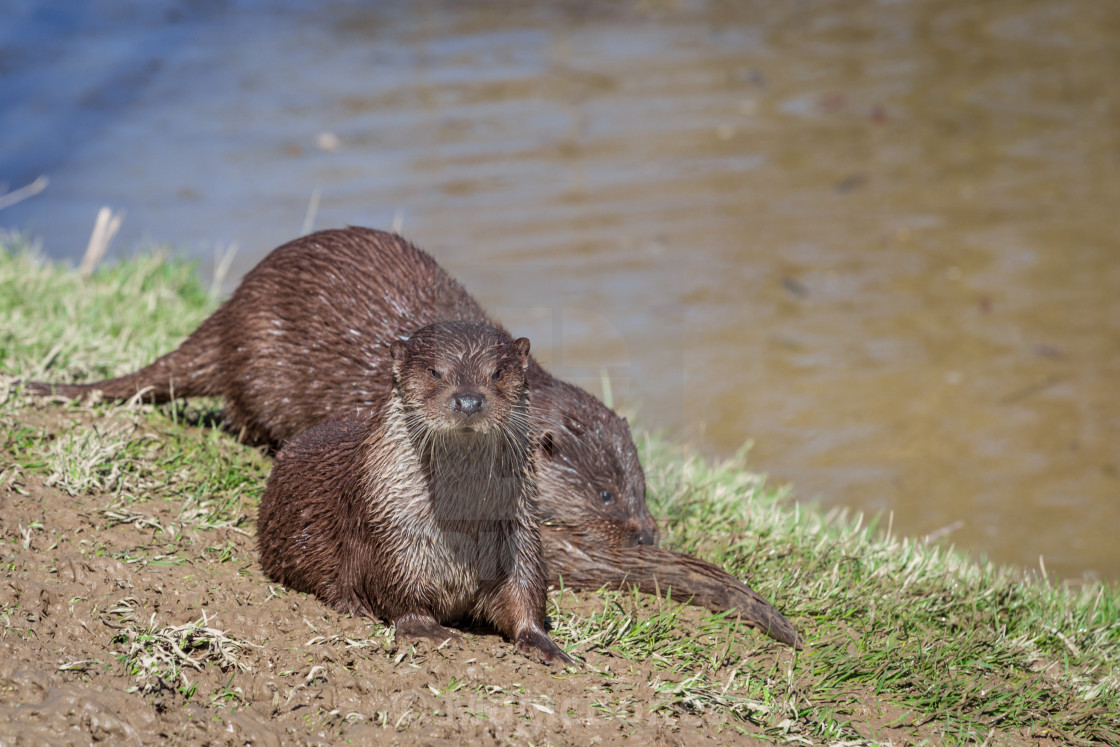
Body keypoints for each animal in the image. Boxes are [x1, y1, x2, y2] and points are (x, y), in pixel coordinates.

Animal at [257, 322, 573, 667]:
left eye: (498, 373)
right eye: (434, 372)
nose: (468, 401)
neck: (458, 525)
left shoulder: (517, 529)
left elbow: (524, 587)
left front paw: (542, 642)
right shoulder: (389, 527)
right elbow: (398, 590)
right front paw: (427, 630)